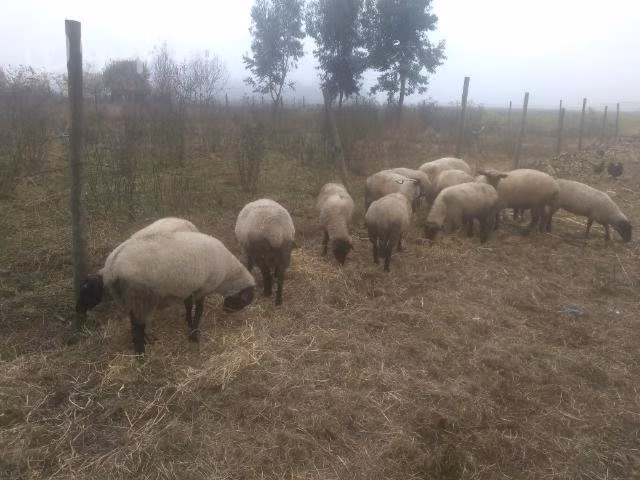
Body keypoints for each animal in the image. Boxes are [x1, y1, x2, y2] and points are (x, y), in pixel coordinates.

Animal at [75, 231, 256, 354]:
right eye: (243, 302)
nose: (226, 311)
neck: (228, 273)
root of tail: (112, 266)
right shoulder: (203, 288)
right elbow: (199, 311)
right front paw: (194, 336)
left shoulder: (189, 288)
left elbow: (188, 306)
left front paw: (188, 323)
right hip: (140, 296)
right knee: (137, 328)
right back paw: (141, 356)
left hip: (132, 300)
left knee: (137, 324)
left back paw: (146, 343)